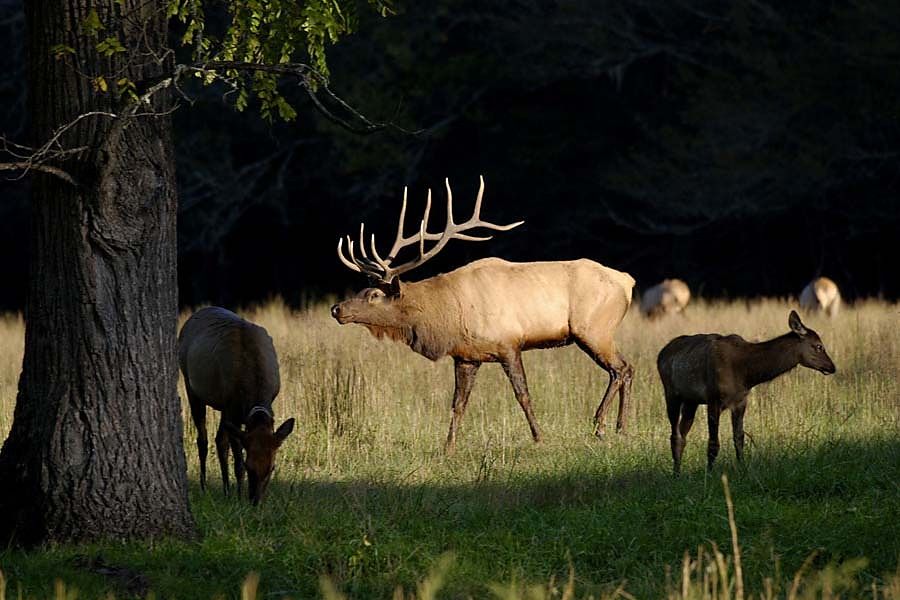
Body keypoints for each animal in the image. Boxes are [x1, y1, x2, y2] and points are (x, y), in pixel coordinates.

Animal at [178, 308, 296, 504]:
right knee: (203, 439)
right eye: (250, 467)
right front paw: (240, 497)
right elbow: (237, 461)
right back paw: (204, 487)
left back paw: (226, 490)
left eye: (272, 467)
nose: (256, 501)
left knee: (219, 440)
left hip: (224, 407)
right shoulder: (232, 409)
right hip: (191, 385)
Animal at [328, 175, 632, 450]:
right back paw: (620, 427)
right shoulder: (466, 356)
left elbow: (523, 394)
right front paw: (448, 446)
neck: (449, 315)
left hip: (593, 329)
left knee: (621, 369)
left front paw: (539, 437)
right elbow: (458, 404)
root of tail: (627, 281)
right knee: (626, 369)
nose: (336, 308)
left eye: (374, 295)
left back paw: (602, 426)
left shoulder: (509, 343)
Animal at [652, 310, 836, 474]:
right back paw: (675, 475)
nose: (832, 367)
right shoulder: (713, 398)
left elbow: (739, 438)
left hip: (691, 400)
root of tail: (661, 353)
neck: (746, 373)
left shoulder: (740, 400)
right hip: (671, 393)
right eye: (819, 346)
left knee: (682, 433)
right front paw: (709, 474)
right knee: (675, 435)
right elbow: (713, 443)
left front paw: (742, 470)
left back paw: (678, 471)